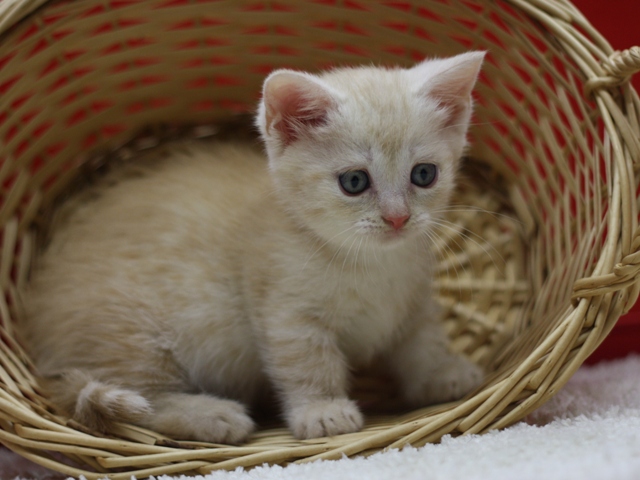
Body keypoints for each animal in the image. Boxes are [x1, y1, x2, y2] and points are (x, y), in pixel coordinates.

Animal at [22, 51, 488, 442]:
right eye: (354, 181)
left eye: (424, 174)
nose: (398, 218)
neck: (373, 263)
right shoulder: (286, 312)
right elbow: (307, 364)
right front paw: (323, 411)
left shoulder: (416, 301)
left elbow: (423, 342)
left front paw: (443, 373)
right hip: (137, 337)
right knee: (143, 402)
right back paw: (211, 415)